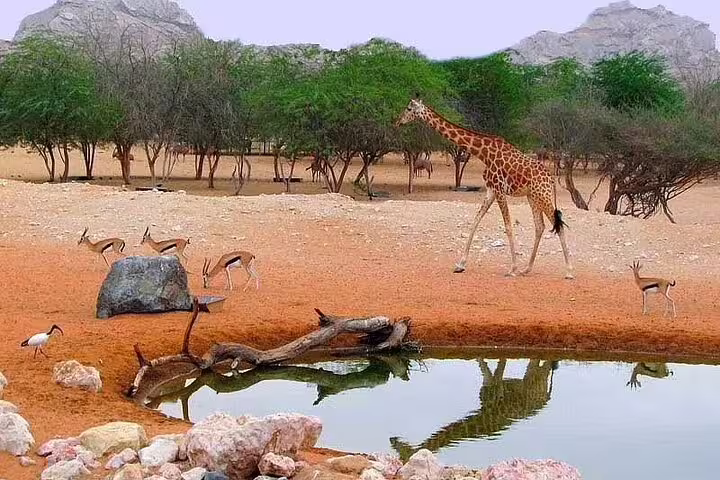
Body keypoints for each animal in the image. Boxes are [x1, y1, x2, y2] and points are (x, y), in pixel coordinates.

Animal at [395, 97, 574, 279]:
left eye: (409, 108)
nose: (398, 122)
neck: (483, 154)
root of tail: (551, 179)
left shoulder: (499, 190)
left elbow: (508, 226)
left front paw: (512, 268)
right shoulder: (491, 190)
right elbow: (476, 220)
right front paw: (460, 264)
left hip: (543, 195)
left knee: (558, 225)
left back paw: (568, 271)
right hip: (533, 196)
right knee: (540, 226)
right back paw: (527, 268)